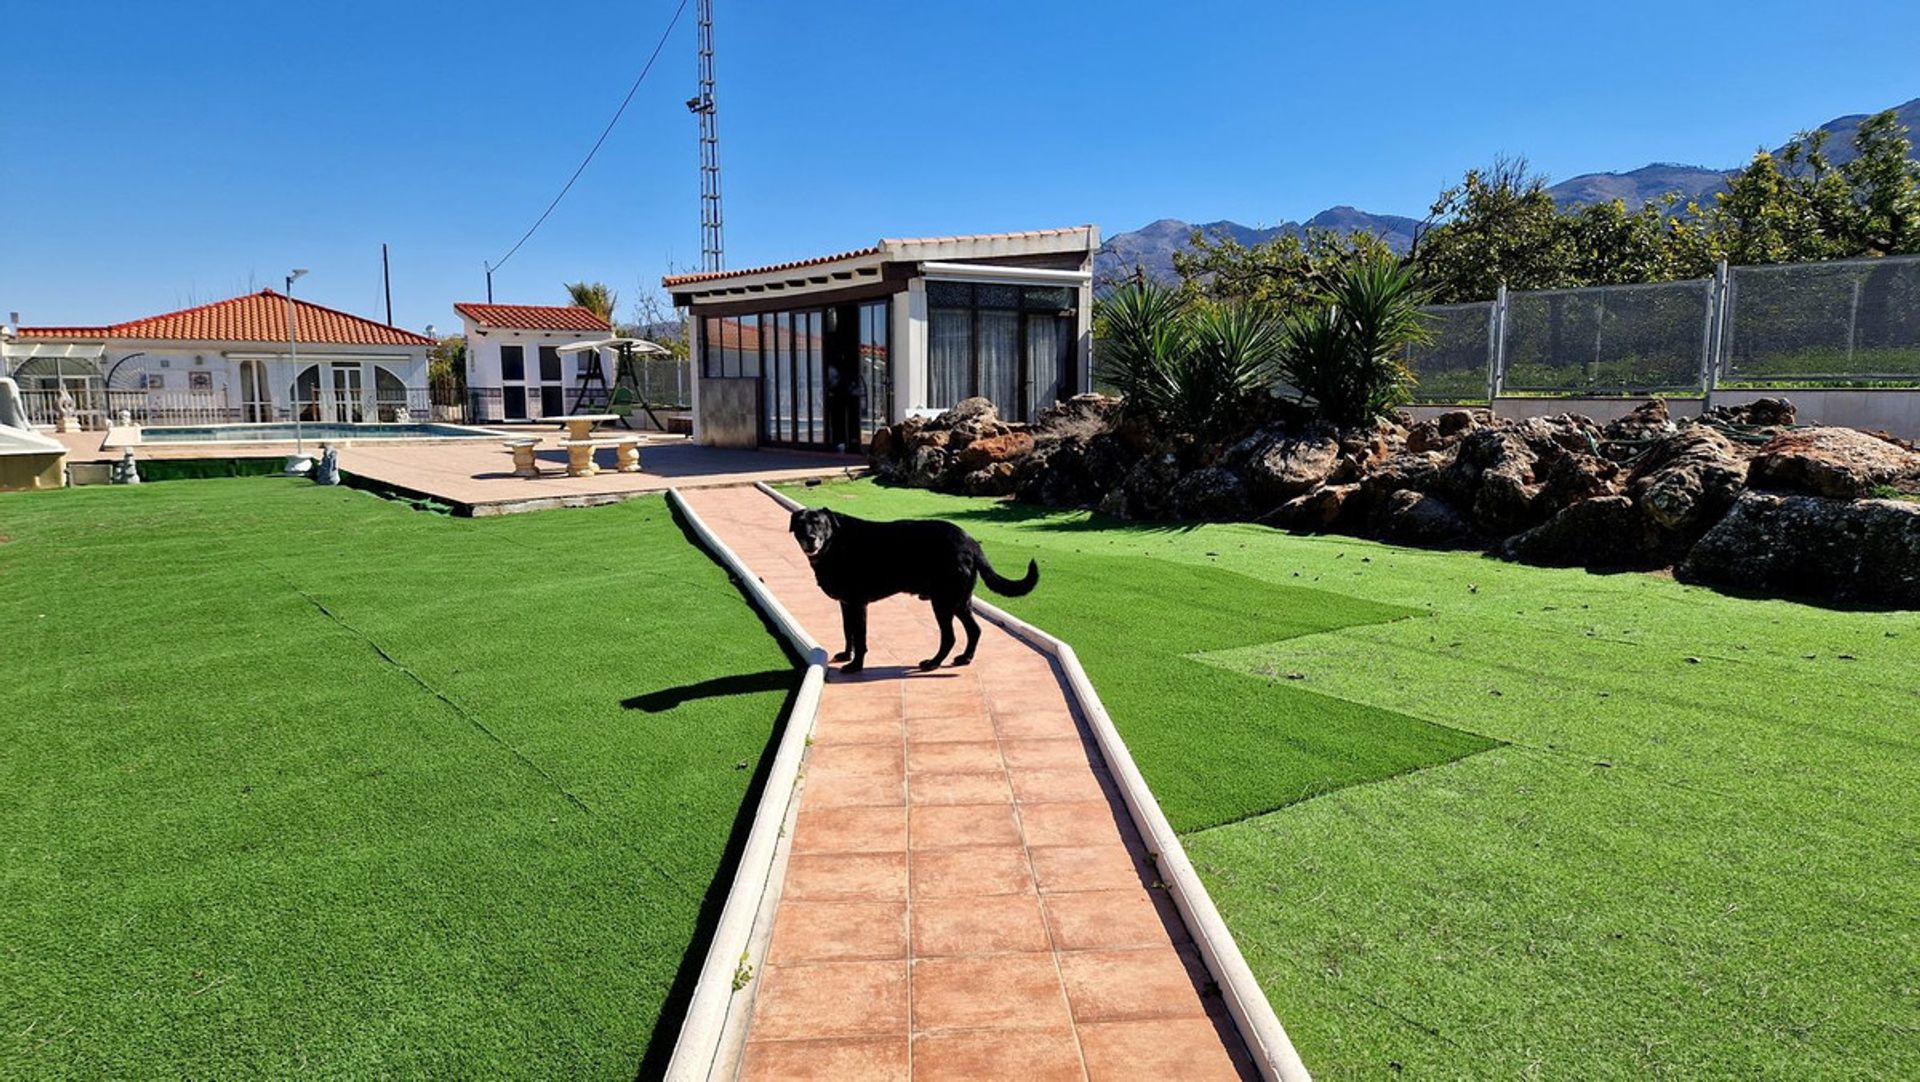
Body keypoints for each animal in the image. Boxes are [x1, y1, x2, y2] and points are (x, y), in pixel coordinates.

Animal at [787, 506, 1044, 667]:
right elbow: (847, 630)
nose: (810, 538)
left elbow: (860, 637)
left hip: (943, 602)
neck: (834, 543)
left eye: (818, 523)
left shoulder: (858, 604)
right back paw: (964, 658)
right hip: (959, 601)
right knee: (975, 630)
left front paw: (856, 665)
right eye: (800, 525)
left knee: (949, 637)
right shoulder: (846, 603)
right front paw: (846, 655)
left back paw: (933, 663)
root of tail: (971, 542)